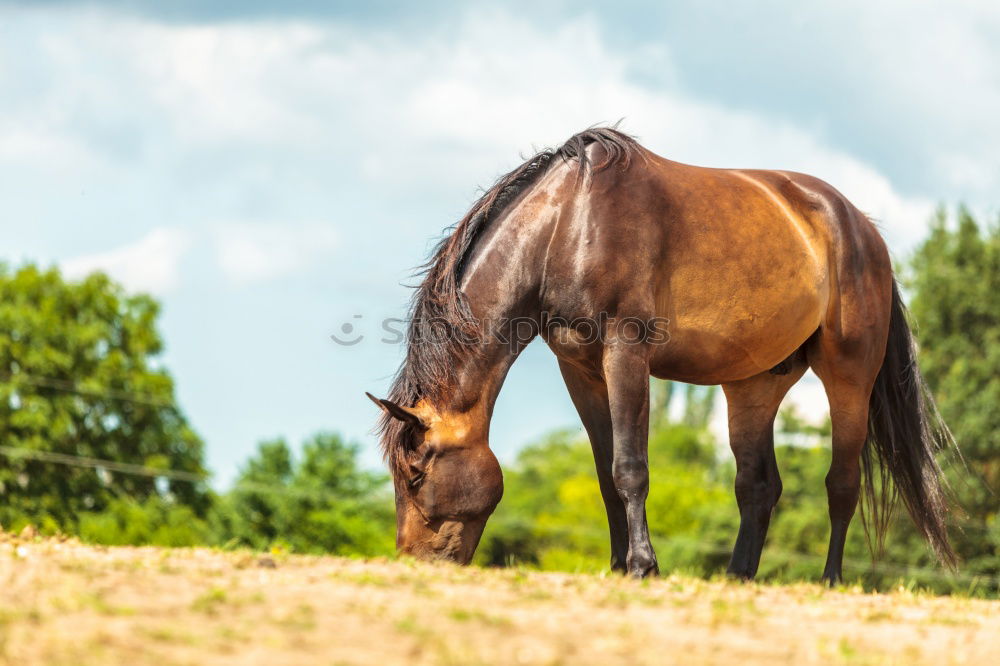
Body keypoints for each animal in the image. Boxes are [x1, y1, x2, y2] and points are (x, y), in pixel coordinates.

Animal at [366, 126, 952, 580]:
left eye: (415, 474)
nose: (412, 563)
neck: (568, 225)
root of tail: (861, 228)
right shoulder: (580, 370)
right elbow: (605, 476)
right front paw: (617, 565)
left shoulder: (626, 353)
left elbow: (631, 467)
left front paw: (644, 565)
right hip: (754, 384)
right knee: (758, 487)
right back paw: (738, 577)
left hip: (849, 375)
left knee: (841, 483)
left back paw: (830, 580)